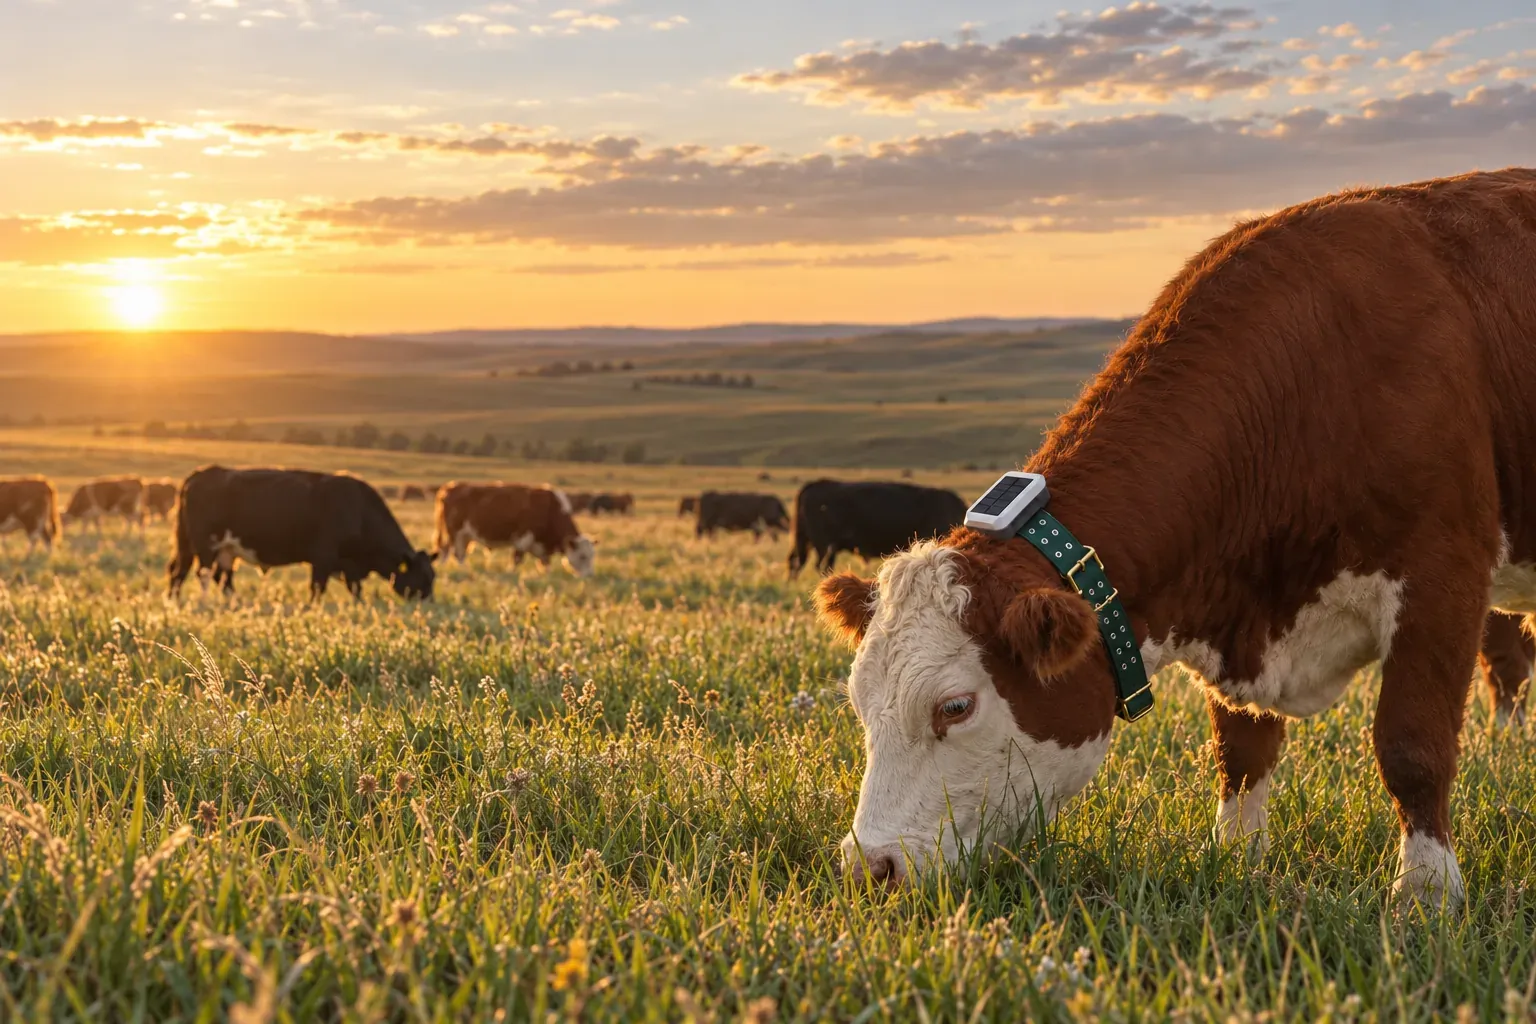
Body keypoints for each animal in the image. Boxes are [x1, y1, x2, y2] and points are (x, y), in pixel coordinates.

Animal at [166, 466, 434, 600]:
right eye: (423, 578)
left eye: (433, 577)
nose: (427, 603)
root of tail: (199, 474)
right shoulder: (323, 558)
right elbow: (317, 589)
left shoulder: (349, 566)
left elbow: (356, 591)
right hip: (205, 545)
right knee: (202, 574)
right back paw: (204, 606)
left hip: (213, 548)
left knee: (202, 575)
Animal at [432, 482, 595, 577]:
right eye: (582, 556)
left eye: (591, 556)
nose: (589, 575)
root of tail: (450, 487)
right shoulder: (523, 538)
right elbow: (517, 558)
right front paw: (511, 573)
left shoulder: (541, 546)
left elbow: (545, 562)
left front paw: (546, 574)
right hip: (455, 533)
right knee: (457, 553)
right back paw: (463, 570)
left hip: (464, 535)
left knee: (447, 551)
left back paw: (445, 567)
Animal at [813, 169, 1536, 905]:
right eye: (859, 703)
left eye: (955, 706)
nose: (870, 865)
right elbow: (1240, 752)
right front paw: (1239, 860)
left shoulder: (1442, 578)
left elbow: (1411, 746)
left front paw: (1426, 895)